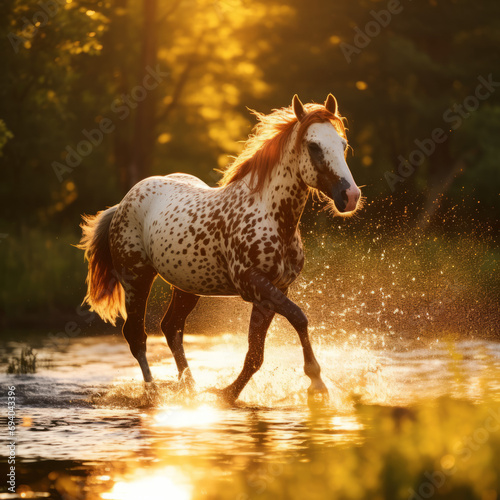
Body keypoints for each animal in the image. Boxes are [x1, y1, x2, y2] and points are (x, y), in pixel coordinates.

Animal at [77, 95, 360, 404]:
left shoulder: (272, 291)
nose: (350, 196)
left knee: (171, 328)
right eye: (313, 146)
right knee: (136, 335)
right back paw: (153, 393)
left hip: (186, 287)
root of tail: (122, 203)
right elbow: (299, 317)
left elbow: (255, 355)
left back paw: (190, 388)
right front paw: (316, 382)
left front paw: (226, 394)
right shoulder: (253, 283)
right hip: (136, 279)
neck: (272, 216)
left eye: (342, 144)